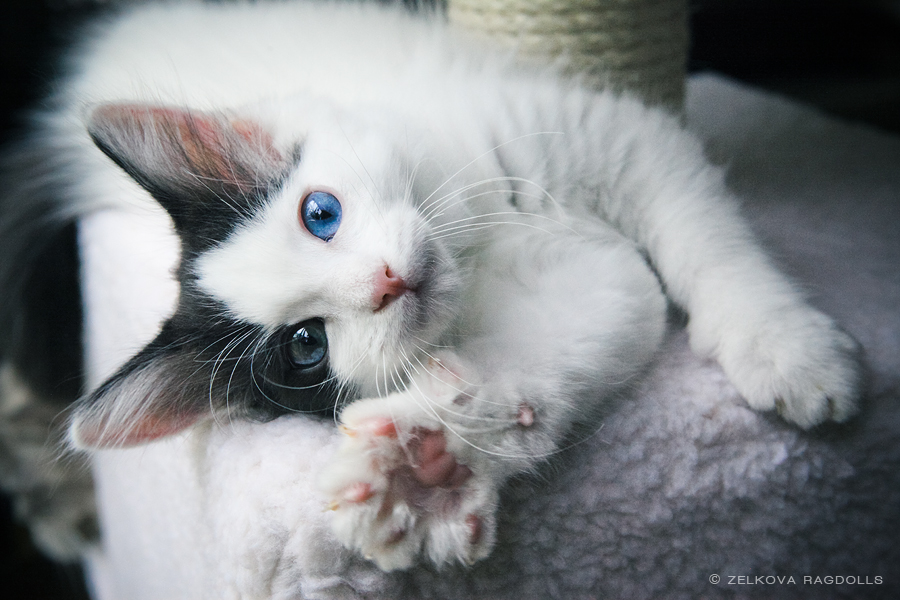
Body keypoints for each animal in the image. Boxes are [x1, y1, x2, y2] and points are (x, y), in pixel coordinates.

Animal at [0, 0, 860, 572]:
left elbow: (710, 247)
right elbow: (542, 360)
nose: (383, 284)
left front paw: (790, 350)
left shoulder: (619, 144)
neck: (479, 238)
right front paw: (423, 467)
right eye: (306, 346)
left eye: (320, 213)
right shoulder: (600, 284)